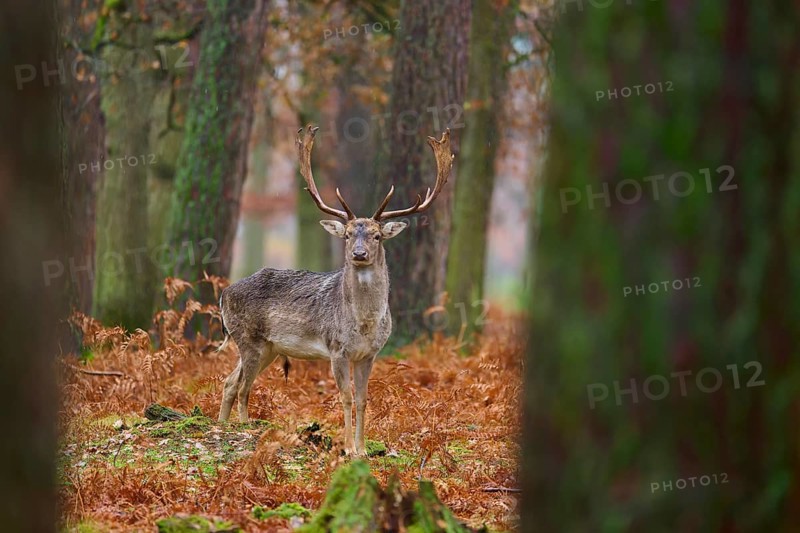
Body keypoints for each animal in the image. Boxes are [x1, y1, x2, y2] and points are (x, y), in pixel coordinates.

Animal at [216, 124, 454, 457]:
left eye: (377, 235)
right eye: (348, 234)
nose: (358, 253)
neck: (364, 324)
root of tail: (224, 294)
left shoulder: (370, 354)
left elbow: (364, 399)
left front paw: (364, 448)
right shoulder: (337, 349)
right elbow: (345, 397)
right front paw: (348, 449)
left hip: (269, 348)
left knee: (229, 381)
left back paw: (222, 425)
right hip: (248, 338)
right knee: (242, 387)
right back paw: (243, 427)